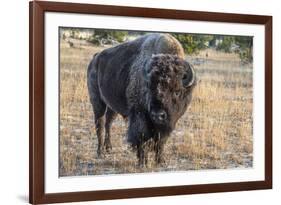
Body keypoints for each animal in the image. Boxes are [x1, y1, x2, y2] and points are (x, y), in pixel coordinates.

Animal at [87, 32, 195, 167]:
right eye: (149, 88)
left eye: (177, 91)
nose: (157, 115)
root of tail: (95, 58)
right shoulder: (140, 117)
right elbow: (142, 137)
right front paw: (143, 162)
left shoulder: (164, 124)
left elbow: (161, 141)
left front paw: (161, 161)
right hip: (97, 103)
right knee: (100, 125)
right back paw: (100, 152)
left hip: (112, 107)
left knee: (108, 123)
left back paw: (109, 148)